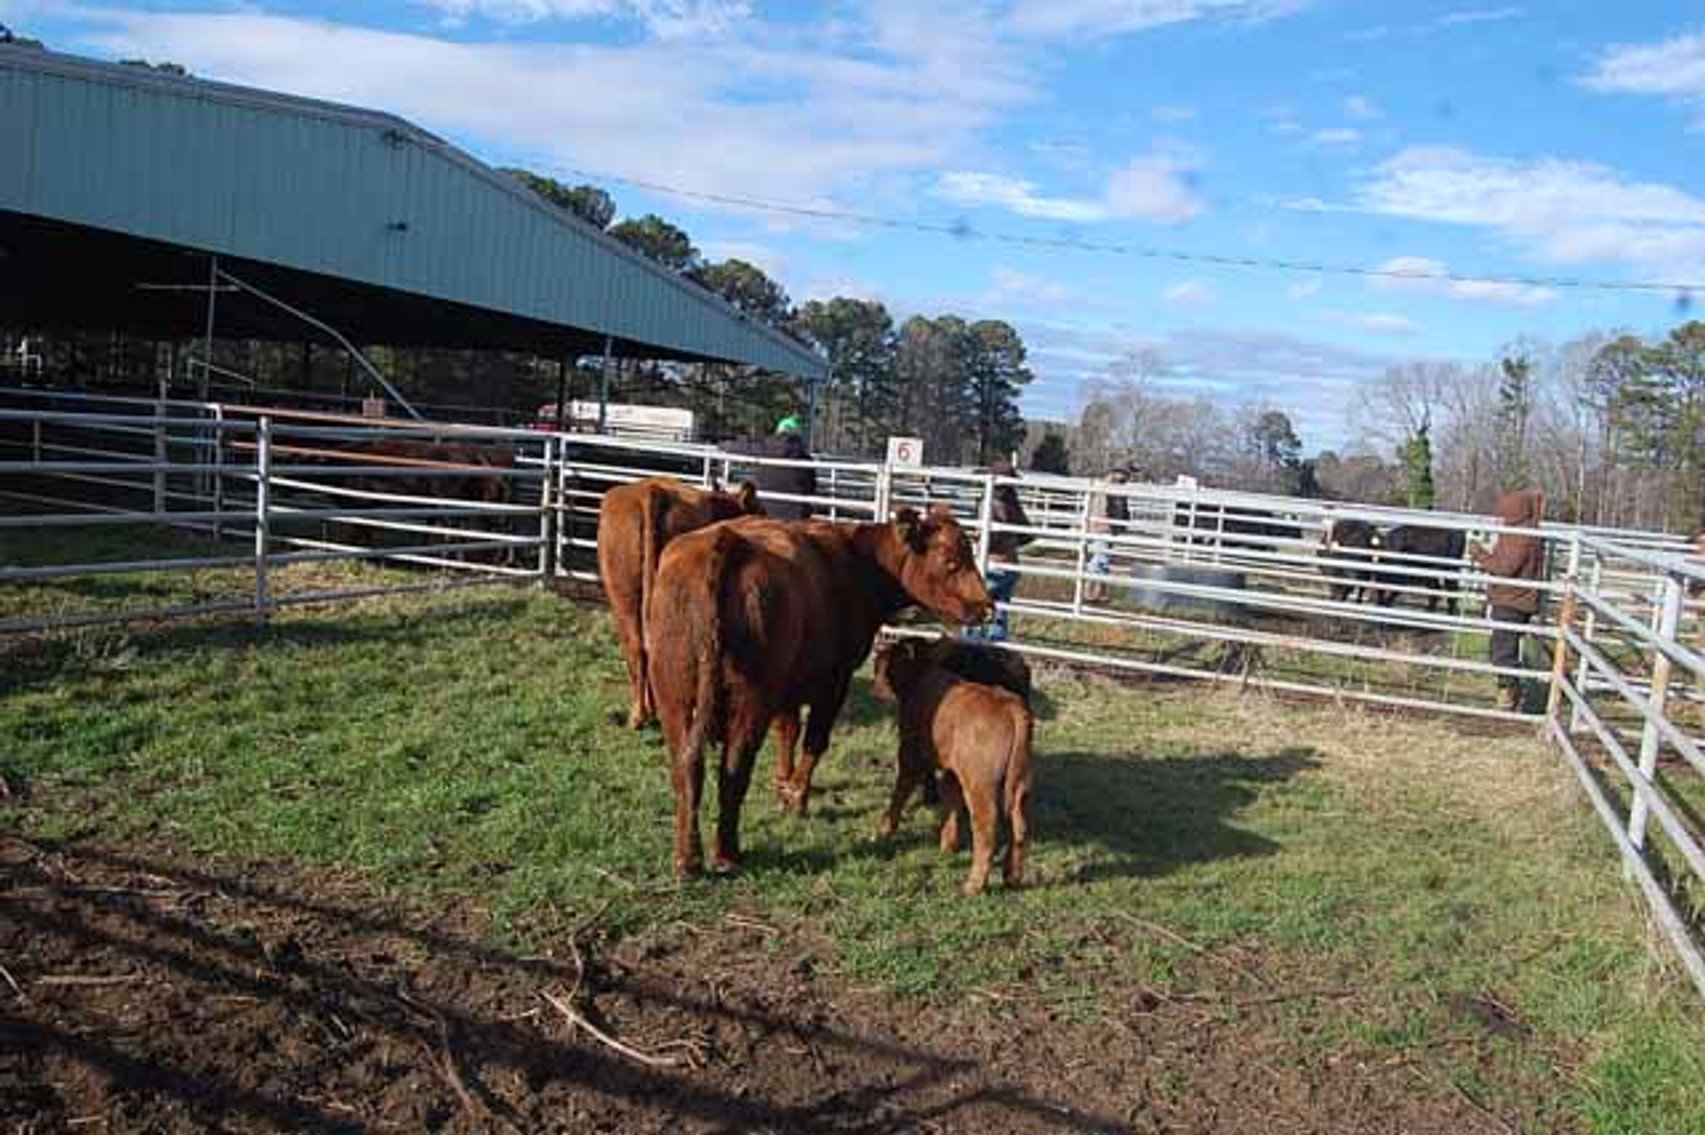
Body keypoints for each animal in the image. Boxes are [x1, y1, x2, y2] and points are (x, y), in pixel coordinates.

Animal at [645, 505, 993, 876]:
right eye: (951, 561)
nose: (987, 607)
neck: (858, 562)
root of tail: (724, 542)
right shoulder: (834, 681)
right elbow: (814, 740)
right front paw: (796, 797)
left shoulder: (789, 682)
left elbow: (788, 729)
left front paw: (782, 784)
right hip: (750, 700)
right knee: (734, 769)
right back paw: (727, 854)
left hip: (675, 695)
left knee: (686, 765)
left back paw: (687, 857)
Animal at [872, 638, 1034, 896]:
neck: (920, 675)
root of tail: (1011, 706)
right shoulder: (951, 769)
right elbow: (950, 801)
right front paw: (948, 844)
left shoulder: (909, 751)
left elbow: (901, 790)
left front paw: (885, 828)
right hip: (1020, 783)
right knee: (1020, 826)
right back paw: (1012, 876)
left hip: (980, 784)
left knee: (986, 827)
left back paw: (973, 885)